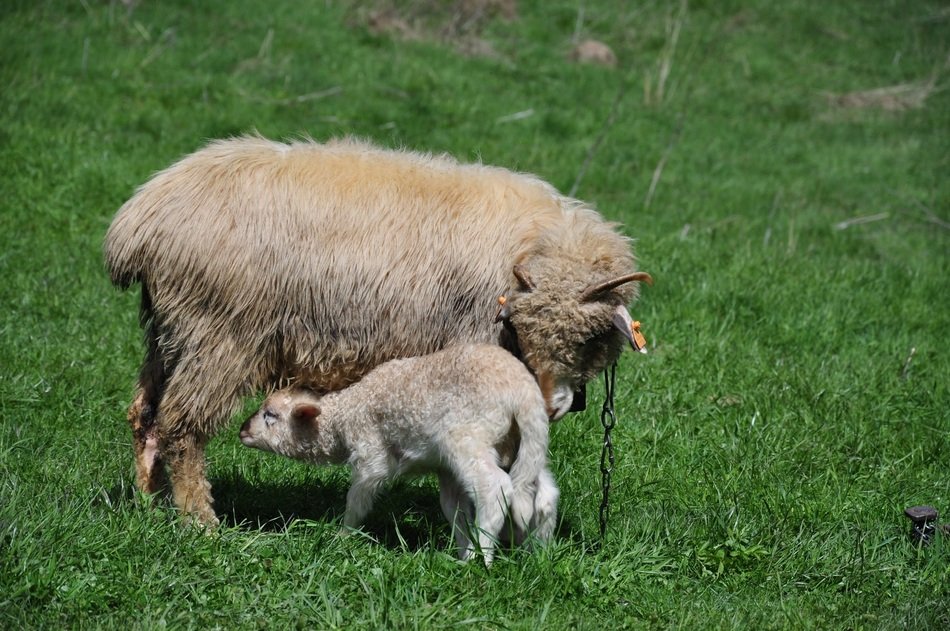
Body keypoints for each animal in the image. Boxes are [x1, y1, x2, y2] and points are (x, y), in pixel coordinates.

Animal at [104, 135, 652, 525]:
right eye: (518, 324)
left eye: (590, 336)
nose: (554, 404)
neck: (531, 244)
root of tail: (139, 221)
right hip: (220, 334)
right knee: (181, 425)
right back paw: (201, 521)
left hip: (170, 329)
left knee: (144, 414)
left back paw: (151, 502)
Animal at [239, 343, 558, 564]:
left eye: (271, 415)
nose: (242, 431)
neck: (343, 416)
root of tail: (523, 391)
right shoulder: (444, 470)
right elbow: (454, 510)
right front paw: (460, 549)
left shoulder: (370, 456)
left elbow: (357, 499)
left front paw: (343, 535)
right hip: (522, 444)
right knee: (542, 493)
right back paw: (537, 552)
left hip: (467, 435)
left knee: (494, 488)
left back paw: (482, 556)